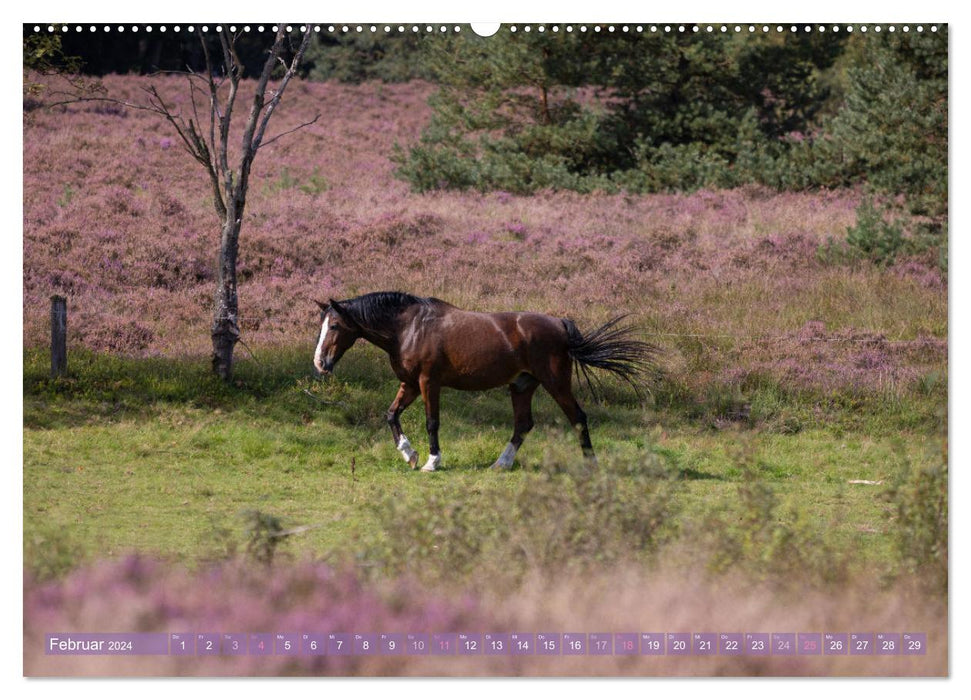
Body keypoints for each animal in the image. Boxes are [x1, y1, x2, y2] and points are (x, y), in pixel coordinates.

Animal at [316, 290, 656, 470]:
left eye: (334, 325)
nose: (320, 363)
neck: (409, 328)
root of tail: (560, 324)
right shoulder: (409, 384)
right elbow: (391, 415)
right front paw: (409, 454)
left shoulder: (428, 383)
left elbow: (432, 422)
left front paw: (432, 461)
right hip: (521, 386)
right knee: (523, 425)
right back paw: (500, 464)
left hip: (556, 382)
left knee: (577, 417)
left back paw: (590, 464)